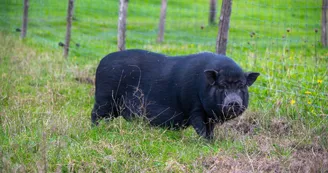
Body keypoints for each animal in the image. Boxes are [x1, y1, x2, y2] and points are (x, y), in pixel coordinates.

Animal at [91, 48, 260, 139]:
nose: (233, 102)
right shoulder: (194, 108)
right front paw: (207, 143)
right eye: (222, 86)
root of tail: (101, 62)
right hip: (104, 99)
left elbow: (210, 130)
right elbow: (200, 128)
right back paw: (95, 130)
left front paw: (213, 141)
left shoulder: (209, 116)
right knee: (94, 114)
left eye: (242, 86)